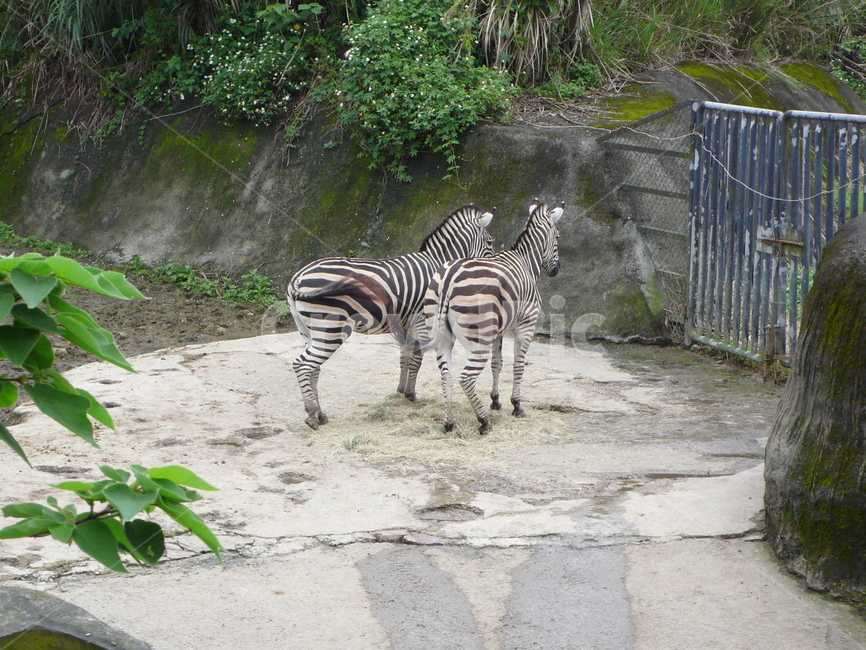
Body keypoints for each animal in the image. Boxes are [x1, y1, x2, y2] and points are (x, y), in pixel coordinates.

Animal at [287, 205, 495, 430]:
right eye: (490, 242)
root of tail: (298, 277)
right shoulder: (421, 319)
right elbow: (417, 358)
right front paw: (411, 395)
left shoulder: (405, 322)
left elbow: (404, 357)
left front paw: (401, 390)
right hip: (331, 327)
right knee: (302, 364)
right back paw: (311, 414)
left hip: (308, 330)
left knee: (313, 368)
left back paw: (319, 413)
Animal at [422, 200, 564, 434]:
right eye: (558, 237)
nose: (556, 270)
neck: (527, 262)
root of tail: (448, 278)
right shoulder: (525, 325)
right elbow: (518, 365)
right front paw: (516, 405)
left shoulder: (499, 331)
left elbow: (497, 364)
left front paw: (496, 400)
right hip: (479, 338)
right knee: (466, 378)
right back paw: (484, 422)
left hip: (443, 335)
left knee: (446, 377)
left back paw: (449, 423)